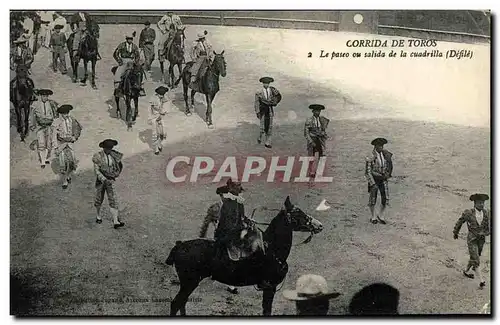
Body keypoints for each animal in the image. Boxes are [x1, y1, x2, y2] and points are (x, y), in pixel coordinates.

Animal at [166, 195, 324, 314]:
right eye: (298, 213)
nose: (320, 225)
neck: (271, 249)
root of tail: (179, 245)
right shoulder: (270, 288)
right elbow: (267, 311)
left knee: (181, 304)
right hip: (189, 283)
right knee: (176, 304)